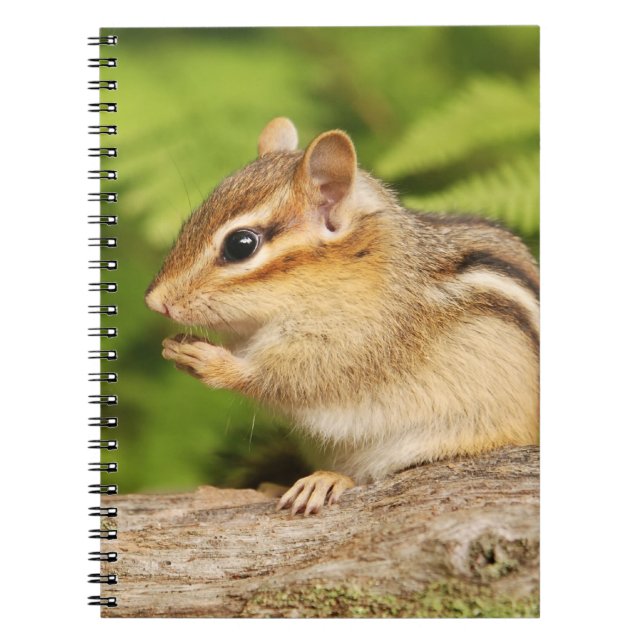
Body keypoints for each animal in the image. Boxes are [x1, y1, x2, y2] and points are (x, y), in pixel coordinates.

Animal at [145, 117, 539, 516]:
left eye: (241, 245)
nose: (155, 302)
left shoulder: (359, 342)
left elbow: (289, 379)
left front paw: (207, 360)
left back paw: (325, 480)